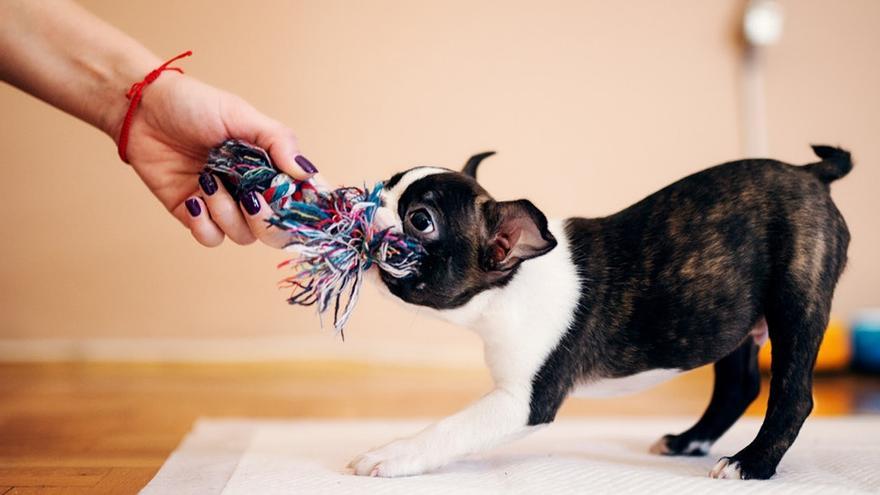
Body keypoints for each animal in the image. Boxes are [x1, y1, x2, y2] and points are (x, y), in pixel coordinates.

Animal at [350, 145, 852, 482]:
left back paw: (752, 463)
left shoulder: (521, 402)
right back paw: (688, 441)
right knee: (739, 386)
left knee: (792, 395)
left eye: (420, 220)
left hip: (794, 299)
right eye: (387, 184)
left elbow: (452, 427)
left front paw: (391, 453)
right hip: (731, 318)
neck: (509, 286)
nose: (367, 202)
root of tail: (810, 173)